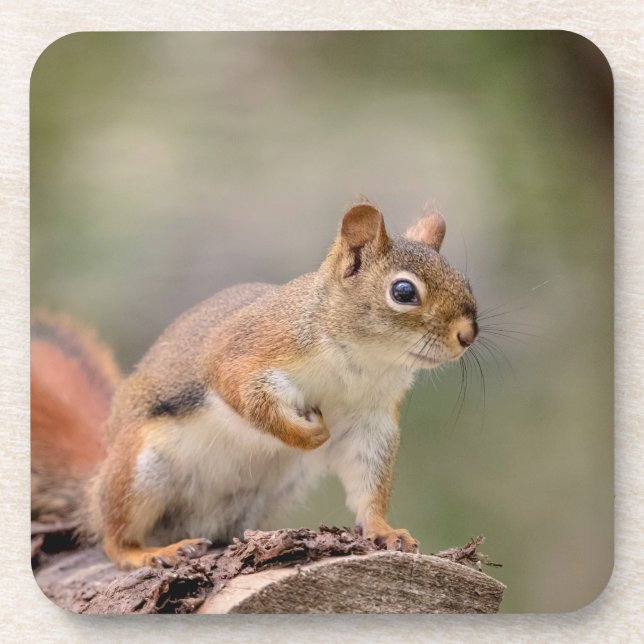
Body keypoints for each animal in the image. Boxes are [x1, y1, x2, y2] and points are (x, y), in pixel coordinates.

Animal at [31, 202, 478, 570]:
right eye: (403, 291)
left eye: (465, 282)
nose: (467, 334)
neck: (363, 361)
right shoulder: (247, 351)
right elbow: (245, 397)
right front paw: (307, 435)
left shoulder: (370, 419)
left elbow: (367, 478)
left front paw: (383, 530)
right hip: (139, 471)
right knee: (113, 537)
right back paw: (148, 552)